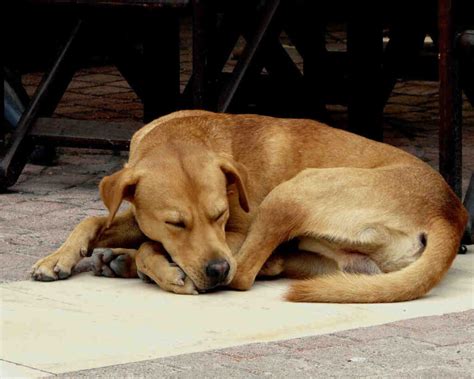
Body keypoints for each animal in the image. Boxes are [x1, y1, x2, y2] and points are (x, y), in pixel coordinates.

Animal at [31, 110, 468, 302]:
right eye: (175, 223)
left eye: (220, 215)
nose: (215, 269)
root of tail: (450, 211)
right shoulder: (144, 216)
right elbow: (94, 219)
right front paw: (58, 258)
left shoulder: (237, 234)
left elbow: (150, 249)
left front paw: (161, 270)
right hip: (327, 256)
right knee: (270, 266)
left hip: (290, 193)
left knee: (246, 275)